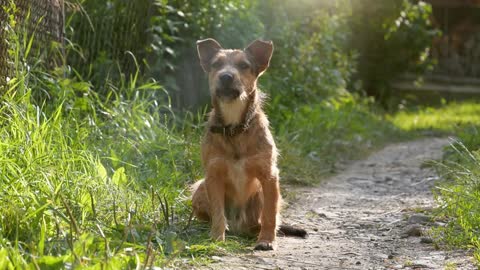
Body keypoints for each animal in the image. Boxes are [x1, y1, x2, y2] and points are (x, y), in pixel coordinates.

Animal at [190, 38, 306, 251]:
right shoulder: (213, 175)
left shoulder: (269, 177)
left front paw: (266, 240)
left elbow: (269, 215)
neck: (234, 127)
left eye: (244, 65)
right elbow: (218, 213)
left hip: (260, 194)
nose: (226, 77)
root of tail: (240, 227)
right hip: (199, 188)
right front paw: (216, 238)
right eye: (216, 64)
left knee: (265, 220)